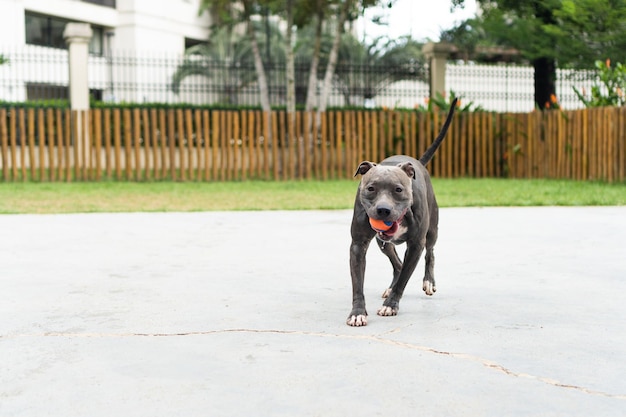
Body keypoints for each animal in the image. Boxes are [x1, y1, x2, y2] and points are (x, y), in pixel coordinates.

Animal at [344, 99, 456, 326]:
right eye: (371, 188)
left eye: (398, 189)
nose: (383, 210)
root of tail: (417, 162)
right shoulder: (358, 245)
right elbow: (358, 282)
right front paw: (357, 312)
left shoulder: (415, 245)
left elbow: (405, 277)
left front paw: (391, 306)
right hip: (383, 243)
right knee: (397, 263)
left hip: (431, 231)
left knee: (430, 252)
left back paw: (428, 281)